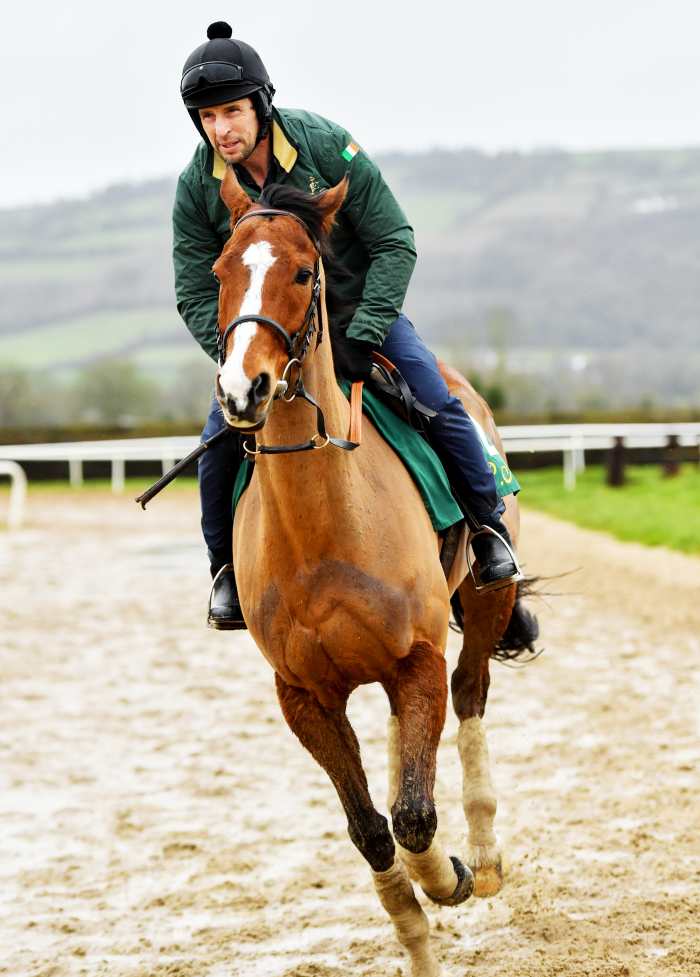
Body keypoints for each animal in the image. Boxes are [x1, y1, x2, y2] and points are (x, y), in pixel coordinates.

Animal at [211, 164, 537, 977]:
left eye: (304, 271)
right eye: (221, 271)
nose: (242, 390)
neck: (322, 533)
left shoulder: (417, 659)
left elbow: (414, 816)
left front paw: (450, 875)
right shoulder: (303, 696)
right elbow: (371, 828)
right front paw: (415, 927)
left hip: (486, 597)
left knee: (471, 695)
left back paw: (484, 855)